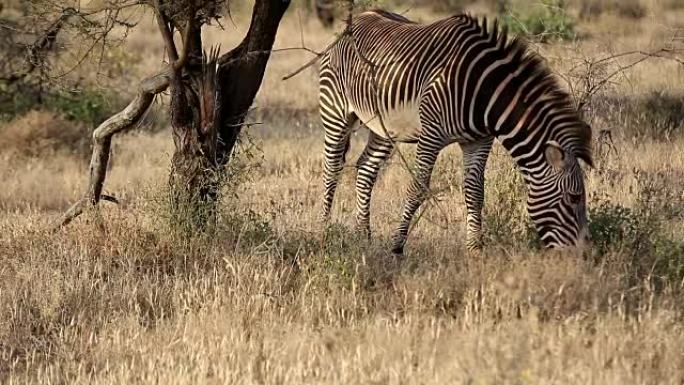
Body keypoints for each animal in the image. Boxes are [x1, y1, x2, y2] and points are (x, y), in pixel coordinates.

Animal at [320, 9, 592, 252]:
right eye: (574, 197)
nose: (581, 255)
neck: (483, 93)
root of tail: (360, 16)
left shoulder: (479, 140)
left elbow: (475, 191)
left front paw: (475, 249)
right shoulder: (431, 135)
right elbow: (417, 189)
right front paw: (397, 247)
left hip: (384, 126)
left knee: (366, 168)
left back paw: (363, 236)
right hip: (335, 112)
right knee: (331, 169)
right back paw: (324, 231)